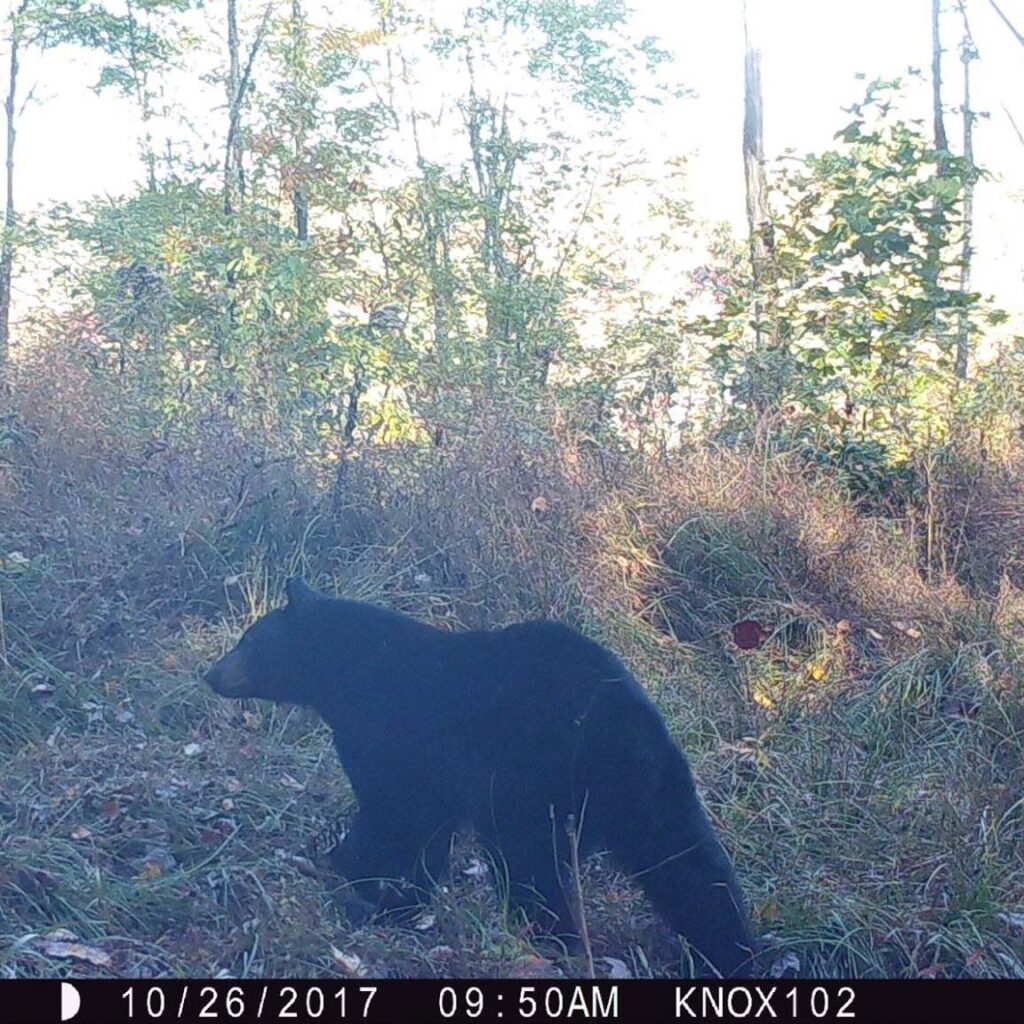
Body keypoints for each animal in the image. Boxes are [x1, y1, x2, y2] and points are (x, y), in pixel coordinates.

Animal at [204, 577, 754, 977]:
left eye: (248, 640)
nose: (210, 673)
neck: (350, 674)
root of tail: (618, 721)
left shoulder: (389, 733)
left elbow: (392, 815)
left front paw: (356, 879)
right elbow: (426, 829)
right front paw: (394, 895)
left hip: (528, 782)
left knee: (531, 865)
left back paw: (553, 940)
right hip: (653, 786)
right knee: (690, 866)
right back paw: (733, 954)